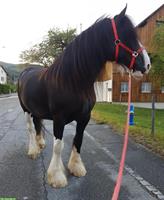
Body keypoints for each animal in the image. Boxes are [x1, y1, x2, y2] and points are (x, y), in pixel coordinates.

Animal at [17, 5, 151, 188]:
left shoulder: (84, 117)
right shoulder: (59, 119)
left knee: (37, 125)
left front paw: (76, 168)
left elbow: (78, 140)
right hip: (26, 110)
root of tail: (26, 71)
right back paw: (33, 150)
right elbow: (58, 145)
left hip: (36, 110)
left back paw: (40, 143)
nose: (147, 65)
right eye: (127, 36)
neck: (72, 81)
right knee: (30, 128)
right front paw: (57, 177)